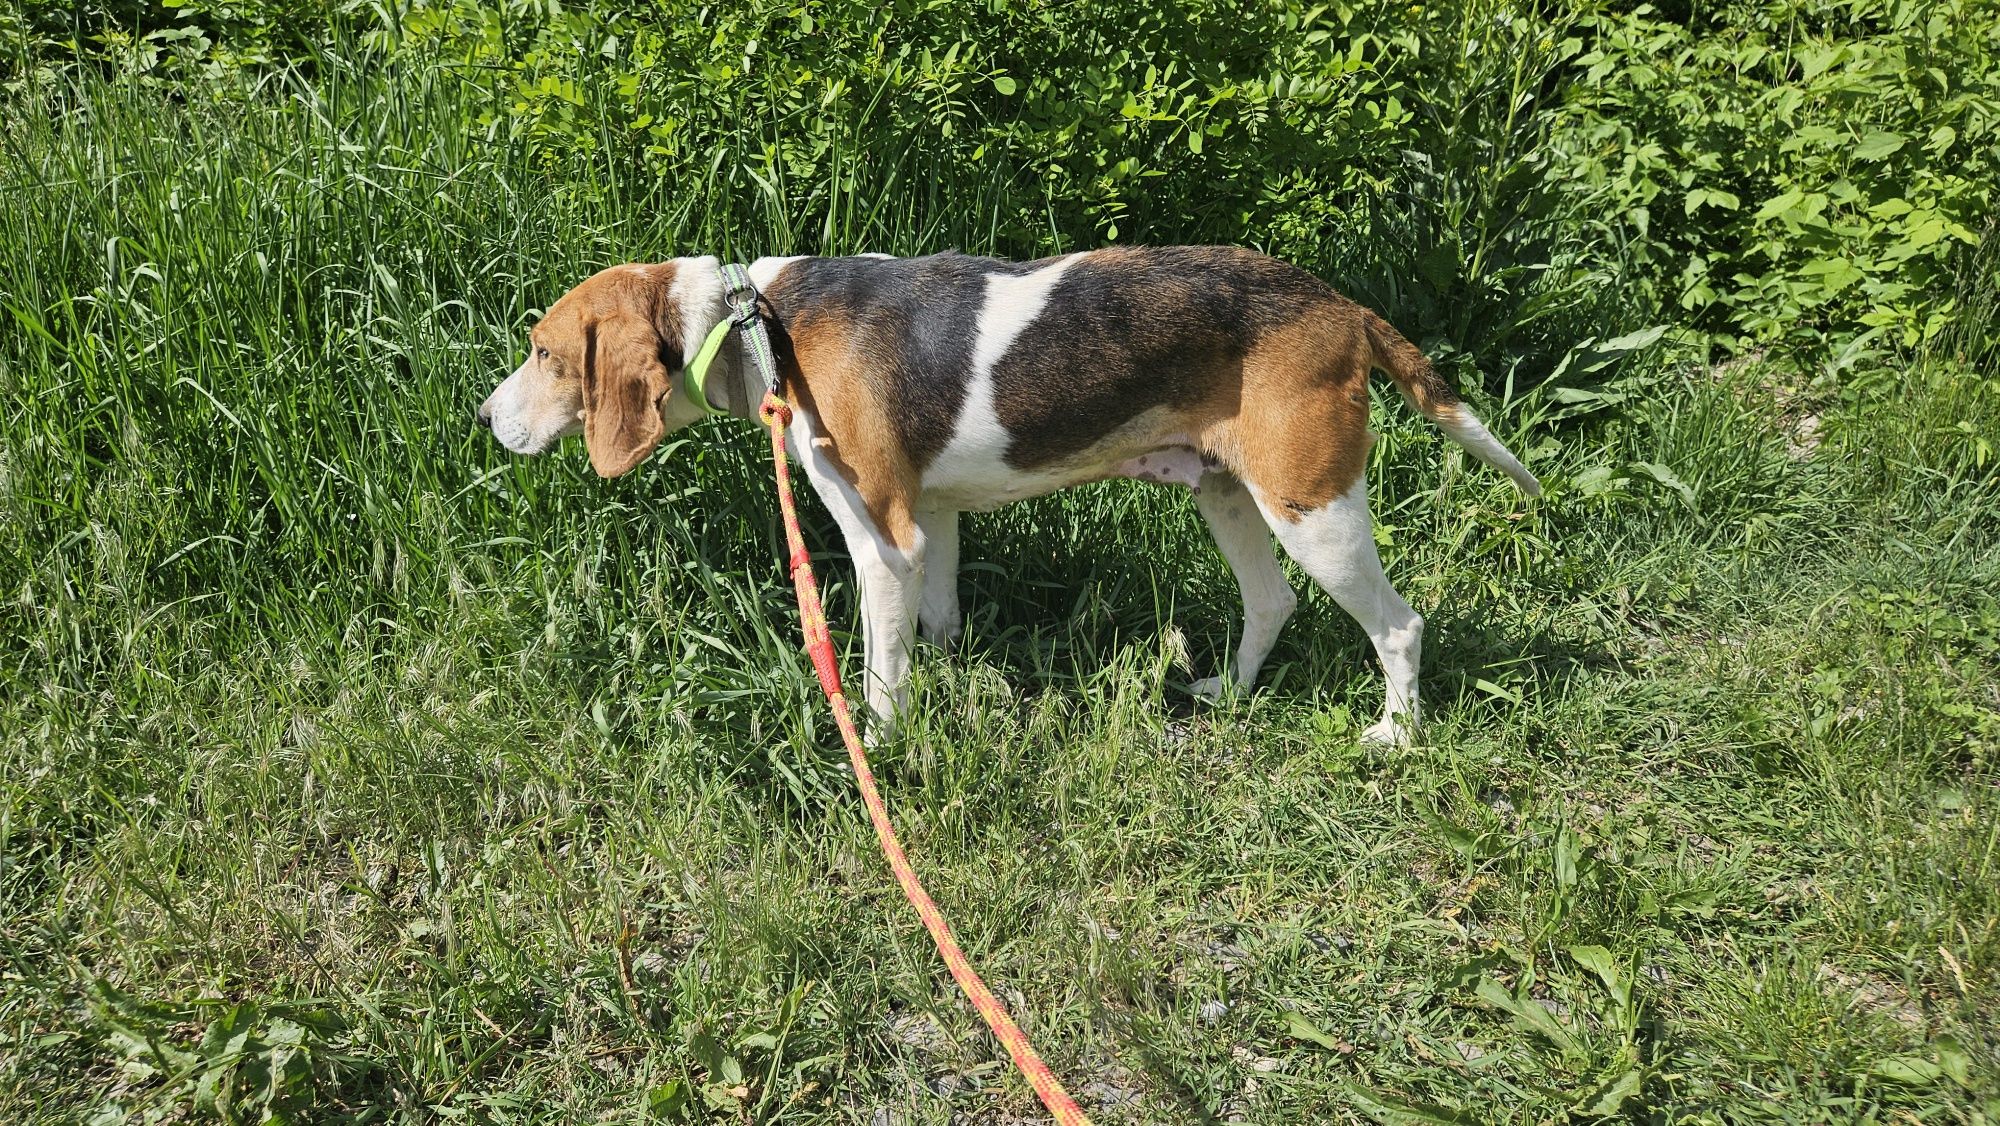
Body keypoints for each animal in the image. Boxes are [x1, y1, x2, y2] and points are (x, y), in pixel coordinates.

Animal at [476, 247, 1536, 744]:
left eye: (542, 353)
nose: (485, 419)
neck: (752, 325)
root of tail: (1341, 306)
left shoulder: (883, 538)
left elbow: (878, 672)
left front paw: (880, 747)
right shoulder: (934, 524)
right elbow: (938, 629)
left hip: (1312, 508)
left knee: (1399, 626)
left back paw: (1395, 738)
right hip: (1229, 495)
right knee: (1269, 602)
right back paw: (1228, 696)